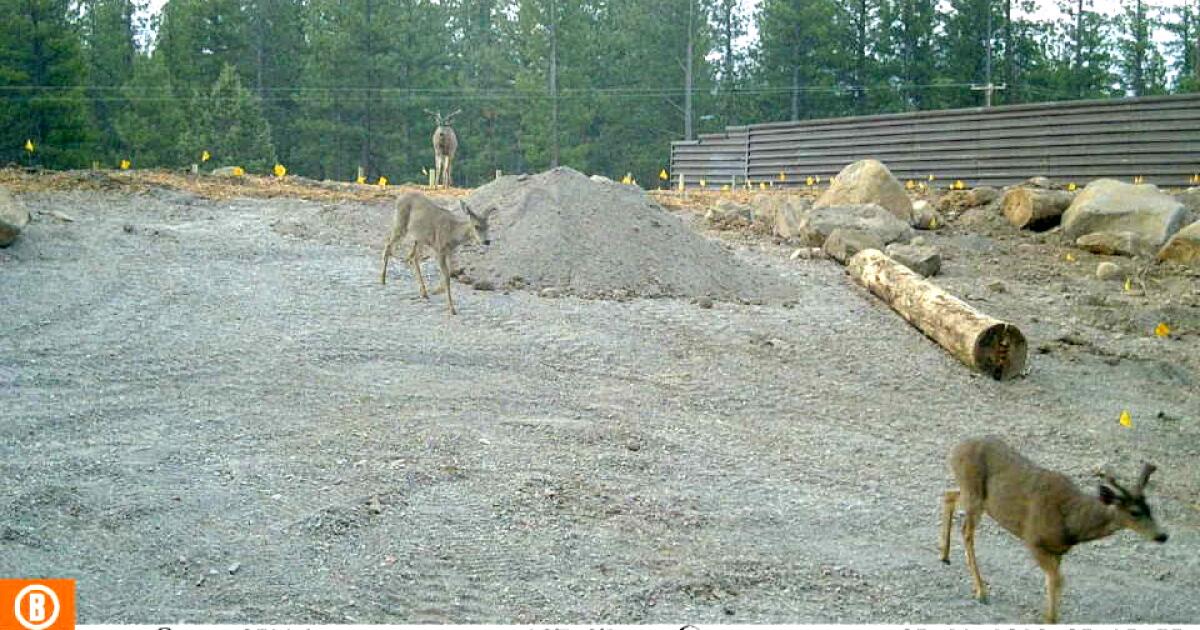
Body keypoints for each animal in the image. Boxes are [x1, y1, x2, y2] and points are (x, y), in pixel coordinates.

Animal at [939, 437, 1168, 624]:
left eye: (1150, 508)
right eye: (1134, 512)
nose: (1162, 536)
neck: (1071, 523)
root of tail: (954, 451)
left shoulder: (1058, 551)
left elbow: (1054, 581)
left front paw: (1051, 614)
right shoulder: (1033, 539)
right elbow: (1058, 580)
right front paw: (1050, 618)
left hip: (975, 497)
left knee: (949, 495)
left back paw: (945, 555)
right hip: (974, 494)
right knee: (967, 532)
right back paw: (981, 591)